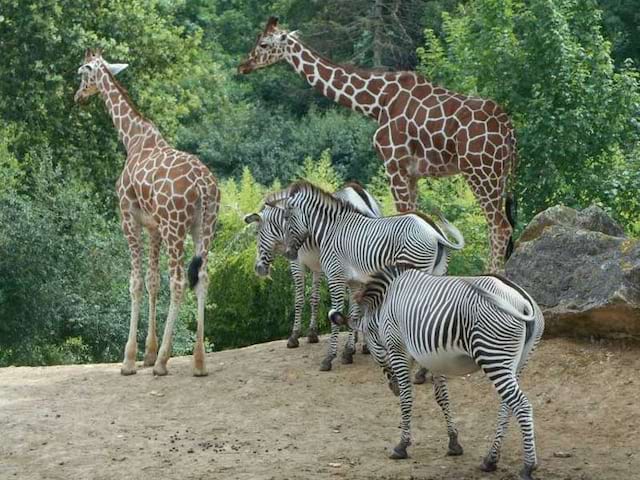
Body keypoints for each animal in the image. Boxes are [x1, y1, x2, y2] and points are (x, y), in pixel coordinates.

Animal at [74, 49, 220, 378]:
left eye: (81, 73)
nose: (77, 96)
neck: (132, 139)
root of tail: (204, 186)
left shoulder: (128, 217)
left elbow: (136, 283)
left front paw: (130, 360)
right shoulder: (153, 226)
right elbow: (153, 282)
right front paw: (148, 354)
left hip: (176, 227)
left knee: (179, 281)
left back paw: (166, 362)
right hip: (204, 226)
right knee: (202, 277)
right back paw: (199, 362)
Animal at [238, 16, 516, 272]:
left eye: (263, 44)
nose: (243, 65)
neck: (376, 102)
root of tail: (509, 130)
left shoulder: (394, 165)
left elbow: (404, 215)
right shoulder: (412, 173)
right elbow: (416, 214)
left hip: (481, 172)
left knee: (500, 225)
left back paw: (493, 274)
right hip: (501, 175)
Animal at [245, 182, 382, 354]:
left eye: (257, 233)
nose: (258, 269)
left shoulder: (297, 263)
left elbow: (299, 299)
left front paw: (294, 336)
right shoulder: (318, 267)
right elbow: (315, 298)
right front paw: (312, 333)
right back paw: (363, 344)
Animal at [276, 180, 464, 372]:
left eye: (287, 218)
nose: (289, 254)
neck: (331, 229)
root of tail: (434, 230)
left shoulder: (336, 277)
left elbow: (336, 316)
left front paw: (329, 358)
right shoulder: (354, 282)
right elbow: (353, 314)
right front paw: (348, 353)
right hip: (438, 272)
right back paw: (425, 370)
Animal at [350, 266, 544, 480]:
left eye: (369, 347)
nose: (394, 389)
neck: (386, 304)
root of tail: (522, 299)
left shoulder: (397, 349)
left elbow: (407, 399)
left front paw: (402, 446)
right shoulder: (433, 357)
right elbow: (442, 397)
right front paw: (454, 443)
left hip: (493, 355)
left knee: (522, 405)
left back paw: (528, 467)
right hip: (518, 362)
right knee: (507, 407)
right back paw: (490, 460)